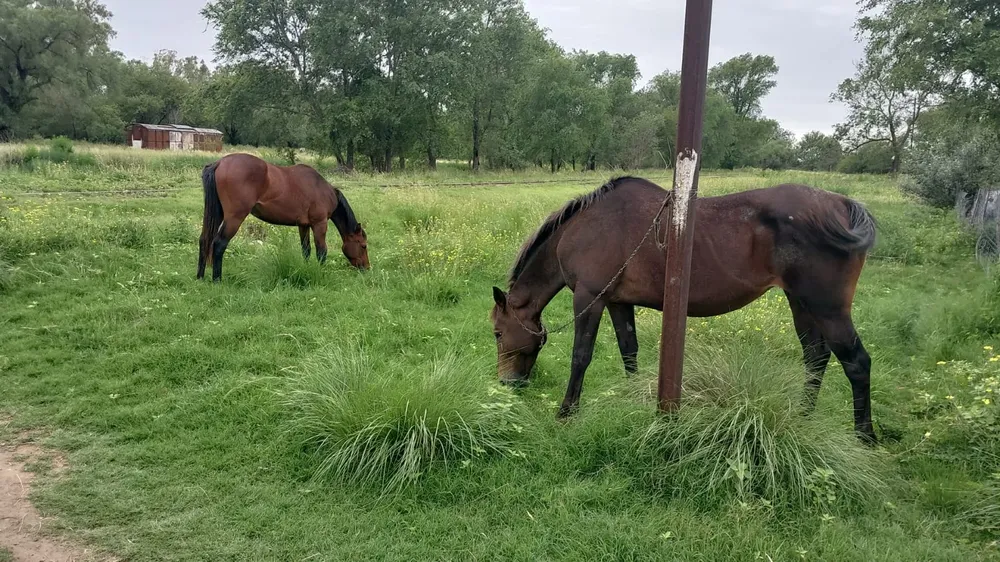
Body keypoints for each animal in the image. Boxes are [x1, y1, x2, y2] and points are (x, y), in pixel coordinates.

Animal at [197, 153, 369, 282]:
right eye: (363, 246)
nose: (367, 268)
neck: (321, 189)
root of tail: (219, 163)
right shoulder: (319, 224)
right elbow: (321, 251)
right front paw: (321, 273)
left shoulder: (303, 225)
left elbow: (306, 250)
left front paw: (306, 269)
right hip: (234, 218)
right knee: (219, 244)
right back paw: (217, 280)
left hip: (218, 215)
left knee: (204, 240)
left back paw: (200, 277)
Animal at [490, 176, 879, 443]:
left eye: (497, 332)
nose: (507, 383)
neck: (586, 227)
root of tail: (842, 205)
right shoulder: (618, 302)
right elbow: (628, 351)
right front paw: (634, 399)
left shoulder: (589, 299)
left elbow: (580, 356)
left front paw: (566, 412)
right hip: (801, 303)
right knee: (815, 355)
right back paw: (803, 416)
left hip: (827, 308)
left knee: (856, 362)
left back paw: (865, 436)